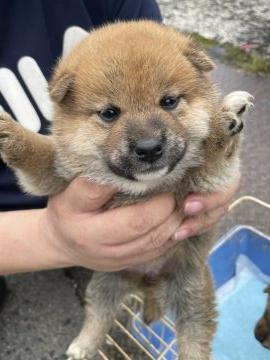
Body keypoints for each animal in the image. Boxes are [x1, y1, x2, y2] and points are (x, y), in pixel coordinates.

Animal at [0, 21, 253, 358]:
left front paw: (223, 121)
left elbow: (213, 156)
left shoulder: (204, 184)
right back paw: (84, 345)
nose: (149, 148)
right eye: (110, 113)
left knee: (195, 336)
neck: (143, 187)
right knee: (99, 316)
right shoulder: (58, 175)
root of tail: (147, 283)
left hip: (192, 294)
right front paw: (8, 131)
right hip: (105, 284)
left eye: (169, 102)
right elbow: (39, 151)